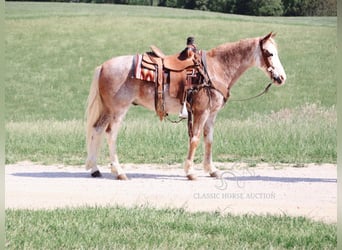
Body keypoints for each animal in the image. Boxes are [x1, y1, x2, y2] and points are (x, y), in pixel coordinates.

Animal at [85, 32, 286, 180]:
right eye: (269, 53)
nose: (282, 78)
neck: (215, 69)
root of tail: (103, 66)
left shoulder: (211, 114)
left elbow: (209, 140)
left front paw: (212, 170)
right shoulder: (201, 112)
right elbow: (195, 139)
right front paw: (190, 172)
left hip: (107, 109)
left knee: (96, 130)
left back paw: (95, 169)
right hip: (118, 110)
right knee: (110, 134)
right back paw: (119, 172)